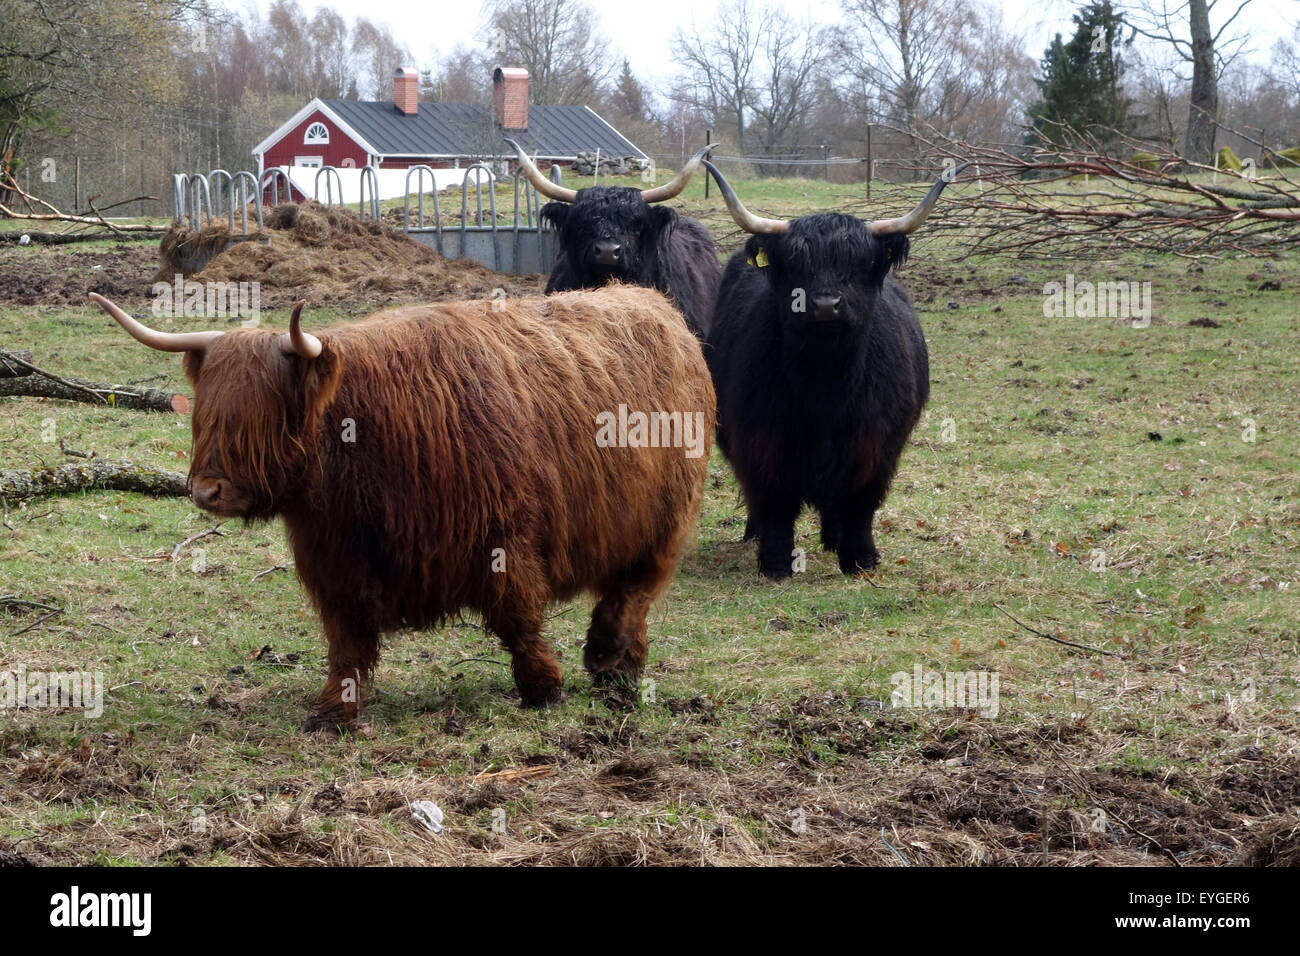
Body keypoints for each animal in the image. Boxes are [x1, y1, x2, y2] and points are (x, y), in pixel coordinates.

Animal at [91, 283, 717, 733]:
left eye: (262, 417)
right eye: (206, 414)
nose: (206, 491)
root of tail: (655, 304)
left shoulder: (505, 538)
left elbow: (517, 619)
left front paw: (543, 687)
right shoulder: (337, 563)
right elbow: (346, 642)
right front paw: (332, 711)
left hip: (664, 521)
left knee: (634, 592)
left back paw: (608, 661)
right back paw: (621, 672)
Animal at [702, 158, 967, 580]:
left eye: (862, 265)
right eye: (795, 265)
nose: (826, 305)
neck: (825, 383)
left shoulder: (876, 444)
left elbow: (860, 503)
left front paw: (860, 559)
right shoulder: (761, 439)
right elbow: (774, 501)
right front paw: (775, 564)